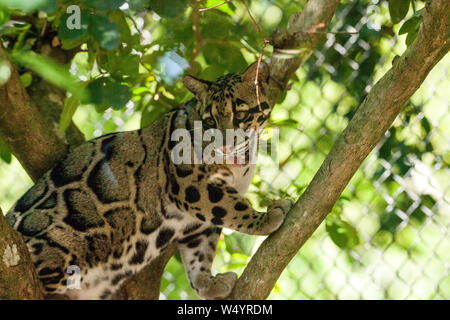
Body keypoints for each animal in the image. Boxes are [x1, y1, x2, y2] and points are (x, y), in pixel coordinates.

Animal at [6, 61, 292, 298]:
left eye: (240, 114)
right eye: (210, 120)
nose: (225, 144)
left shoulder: (198, 222)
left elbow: (200, 252)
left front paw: (207, 283)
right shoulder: (192, 185)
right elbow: (232, 209)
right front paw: (265, 218)